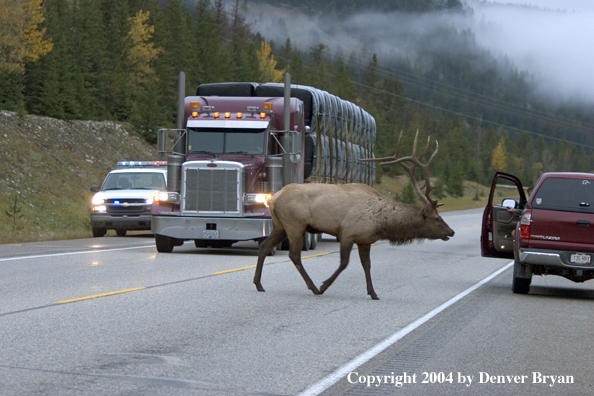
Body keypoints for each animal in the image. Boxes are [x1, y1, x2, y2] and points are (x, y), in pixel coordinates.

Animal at [251, 131, 454, 298]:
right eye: (437, 218)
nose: (451, 232)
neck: (381, 224)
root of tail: (273, 199)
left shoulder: (365, 240)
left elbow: (367, 265)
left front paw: (373, 292)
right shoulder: (348, 233)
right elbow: (344, 263)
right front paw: (324, 286)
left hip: (280, 225)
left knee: (265, 246)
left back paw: (259, 284)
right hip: (295, 225)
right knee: (294, 255)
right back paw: (313, 287)